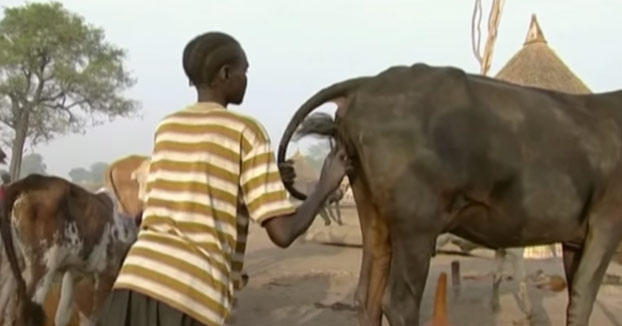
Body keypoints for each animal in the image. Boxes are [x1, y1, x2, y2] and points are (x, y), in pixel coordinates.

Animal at [0, 174, 139, 324]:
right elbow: (93, 318)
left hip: (11, 266)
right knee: (24, 310)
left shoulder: (73, 273)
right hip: (43, 267)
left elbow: (62, 316)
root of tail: (30, 180)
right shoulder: (107, 273)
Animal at [280, 63, 622, 326]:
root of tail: (368, 83)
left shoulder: (576, 238)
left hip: (374, 214)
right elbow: (582, 300)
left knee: (368, 297)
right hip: (416, 225)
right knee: (399, 303)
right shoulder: (605, 224)